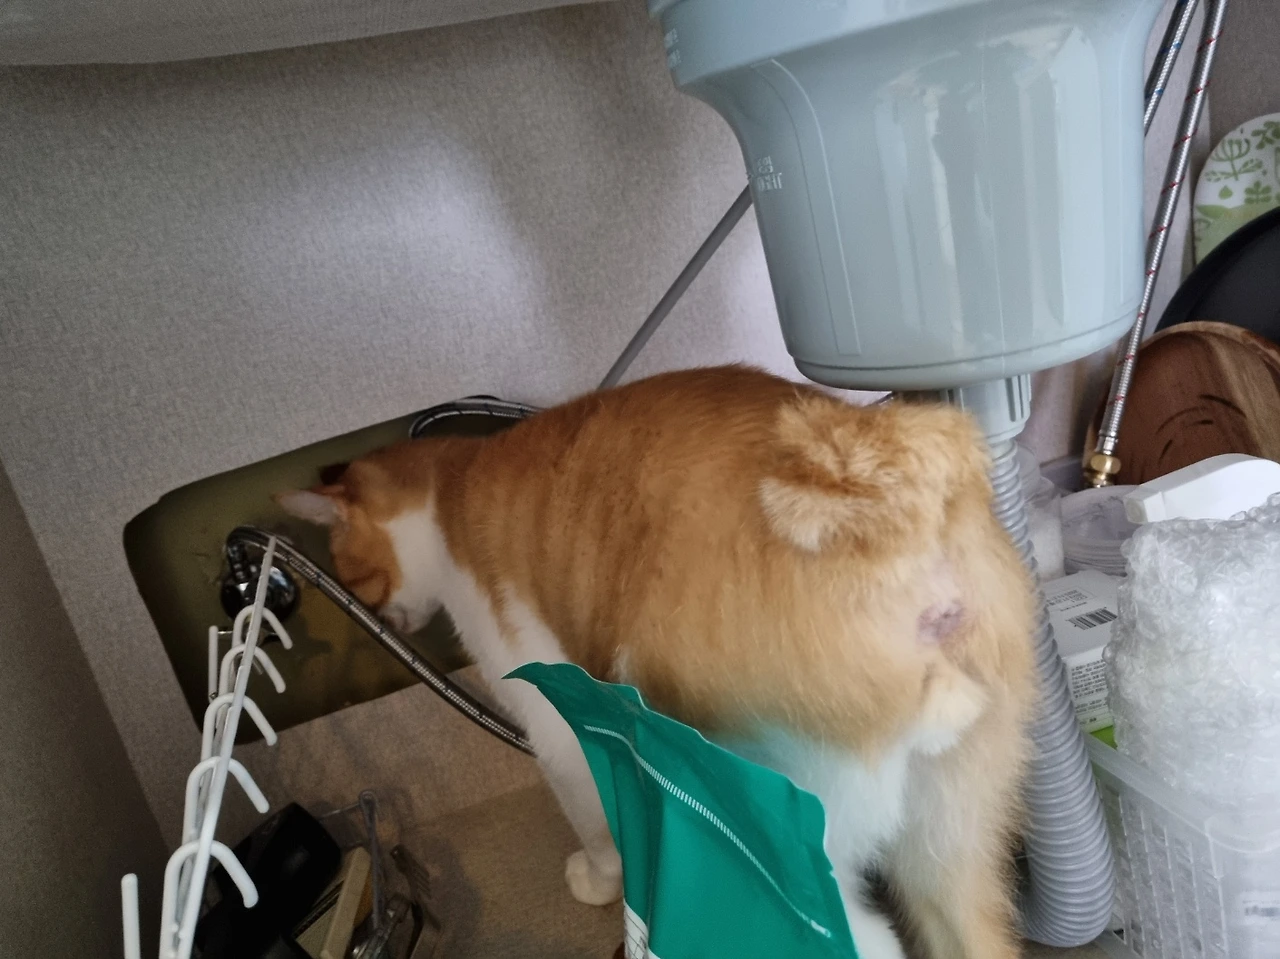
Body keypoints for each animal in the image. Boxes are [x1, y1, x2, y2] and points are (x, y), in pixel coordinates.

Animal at [277, 365, 1036, 959]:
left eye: (352, 576)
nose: (384, 620)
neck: (455, 487)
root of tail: (884, 512)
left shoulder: (559, 727)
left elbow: (592, 822)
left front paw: (596, 879)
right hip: (951, 846)